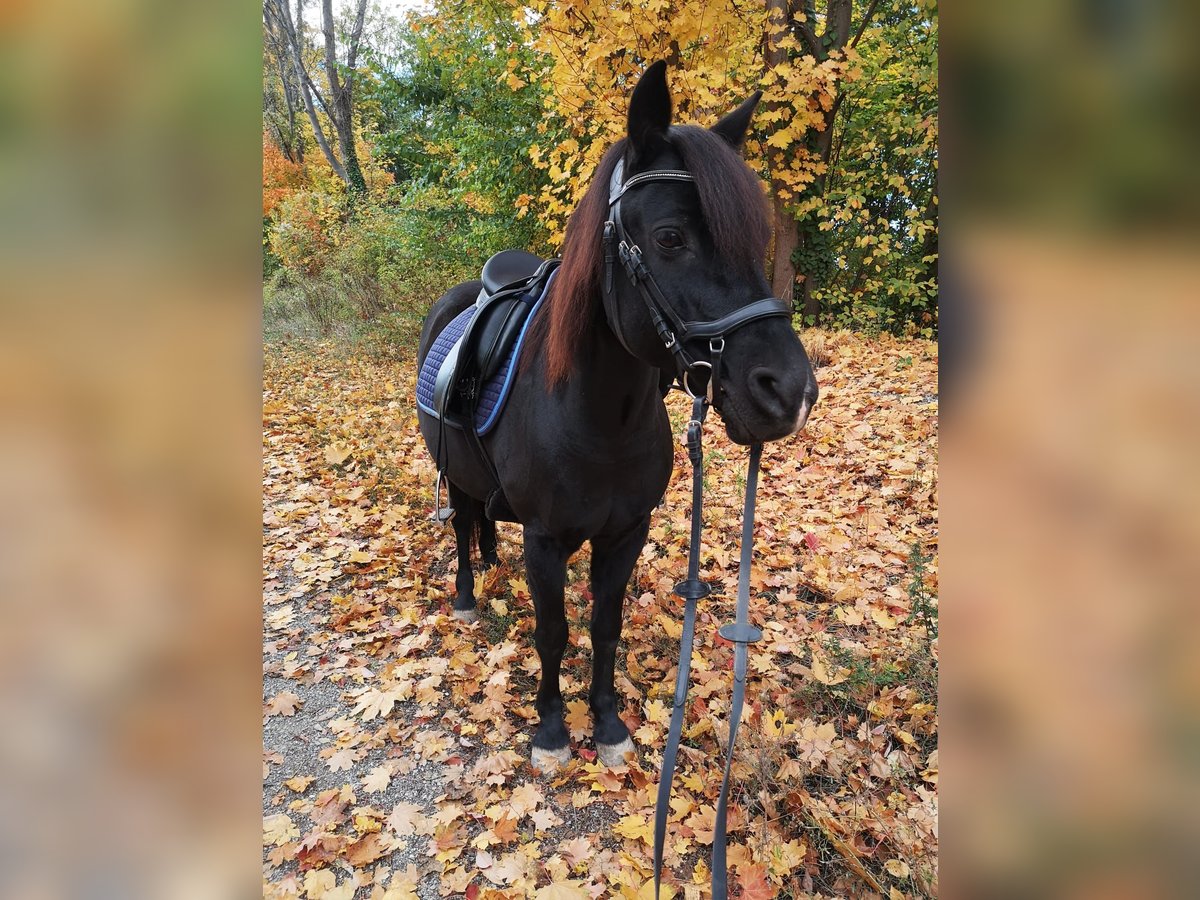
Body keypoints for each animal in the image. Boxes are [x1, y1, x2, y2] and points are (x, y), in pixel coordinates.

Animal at [417, 61, 820, 768]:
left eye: (757, 238)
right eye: (669, 238)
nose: (789, 392)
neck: (599, 423)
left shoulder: (627, 531)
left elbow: (605, 626)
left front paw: (605, 724)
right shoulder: (546, 539)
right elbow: (553, 632)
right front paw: (552, 730)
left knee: (482, 524)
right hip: (456, 474)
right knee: (463, 523)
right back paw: (468, 592)